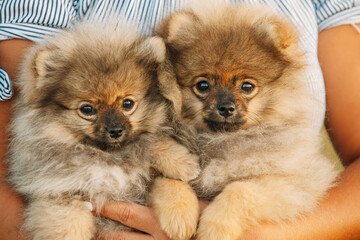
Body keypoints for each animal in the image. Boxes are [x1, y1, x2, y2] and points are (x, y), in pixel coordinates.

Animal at [7, 19, 200, 239]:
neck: (108, 158)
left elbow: (166, 173)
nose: (115, 130)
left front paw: (183, 177)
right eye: (87, 109)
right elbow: (68, 222)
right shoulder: (56, 192)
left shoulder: (147, 178)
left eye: (127, 104)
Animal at [148, 2, 338, 240]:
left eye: (247, 86)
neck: (219, 139)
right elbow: (169, 178)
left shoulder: (293, 182)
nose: (226, 108)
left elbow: (241, 190)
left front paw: (216, 227)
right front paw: (179, 215)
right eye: (203, 85)